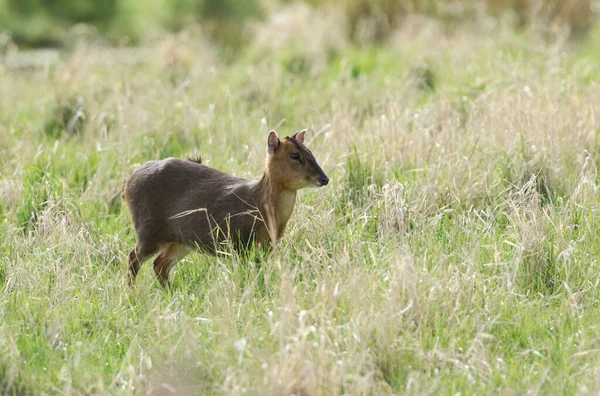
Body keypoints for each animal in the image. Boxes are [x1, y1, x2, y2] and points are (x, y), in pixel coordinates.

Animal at [123, 130, 328, 288]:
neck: (260, 205)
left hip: (182, 240)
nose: (324, 178)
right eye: (295, 155)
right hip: (149, 230)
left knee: (159, 264)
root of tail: (129, 181)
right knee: (133, 257)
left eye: (310, 152)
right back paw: (131, 294)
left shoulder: (266, 246)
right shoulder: (241, 243)